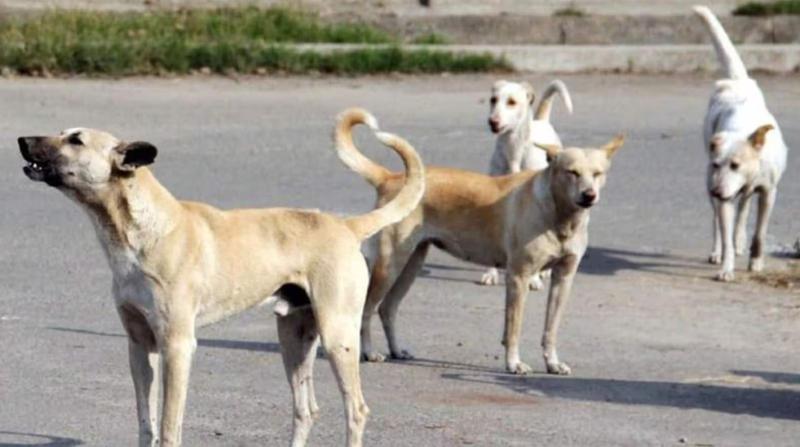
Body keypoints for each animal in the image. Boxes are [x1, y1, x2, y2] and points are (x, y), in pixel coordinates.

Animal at [17, 114, 424, 447]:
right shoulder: (140, 347)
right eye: (61, 133)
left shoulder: (177, 347)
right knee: (306, 410)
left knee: (356, 410)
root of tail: (345, 225)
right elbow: (146, 425)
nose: (21, 139)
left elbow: (169, 427)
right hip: (294, 339)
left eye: (76, 140)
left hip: (338, 337)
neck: (142, 231)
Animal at [338, 108, 623, 373]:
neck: (559, 217)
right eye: (571, 172)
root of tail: (390, 178)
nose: (589, 195)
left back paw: (397, 350)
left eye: (598, 173)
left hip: (412, 263)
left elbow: (550, 330)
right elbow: (513, 328)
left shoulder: (563, 279)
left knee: (387, 309)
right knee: (367, 310)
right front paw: (514, 364)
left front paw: (552, 363)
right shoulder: (518, 277)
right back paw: (369, 352)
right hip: (389, 265)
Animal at [482, 79, 574, 289]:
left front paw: (534, 278)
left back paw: (544, 272)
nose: (493, 121)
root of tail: (542, 121)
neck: (514, 150)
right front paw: (490, 273)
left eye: (512, 102)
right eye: (493, 100)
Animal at [694, 5, 788, 281]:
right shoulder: (722, 193)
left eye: (736, 165)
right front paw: (726, 267)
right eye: (717, 164)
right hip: (713, 189)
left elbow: (760, 233)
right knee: (717, 220)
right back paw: (718, 250)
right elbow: (723, 229)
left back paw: (739, 241)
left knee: (744, 209)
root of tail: (736, 81)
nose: (716, 191)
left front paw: (755, 261)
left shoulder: (768, 193)